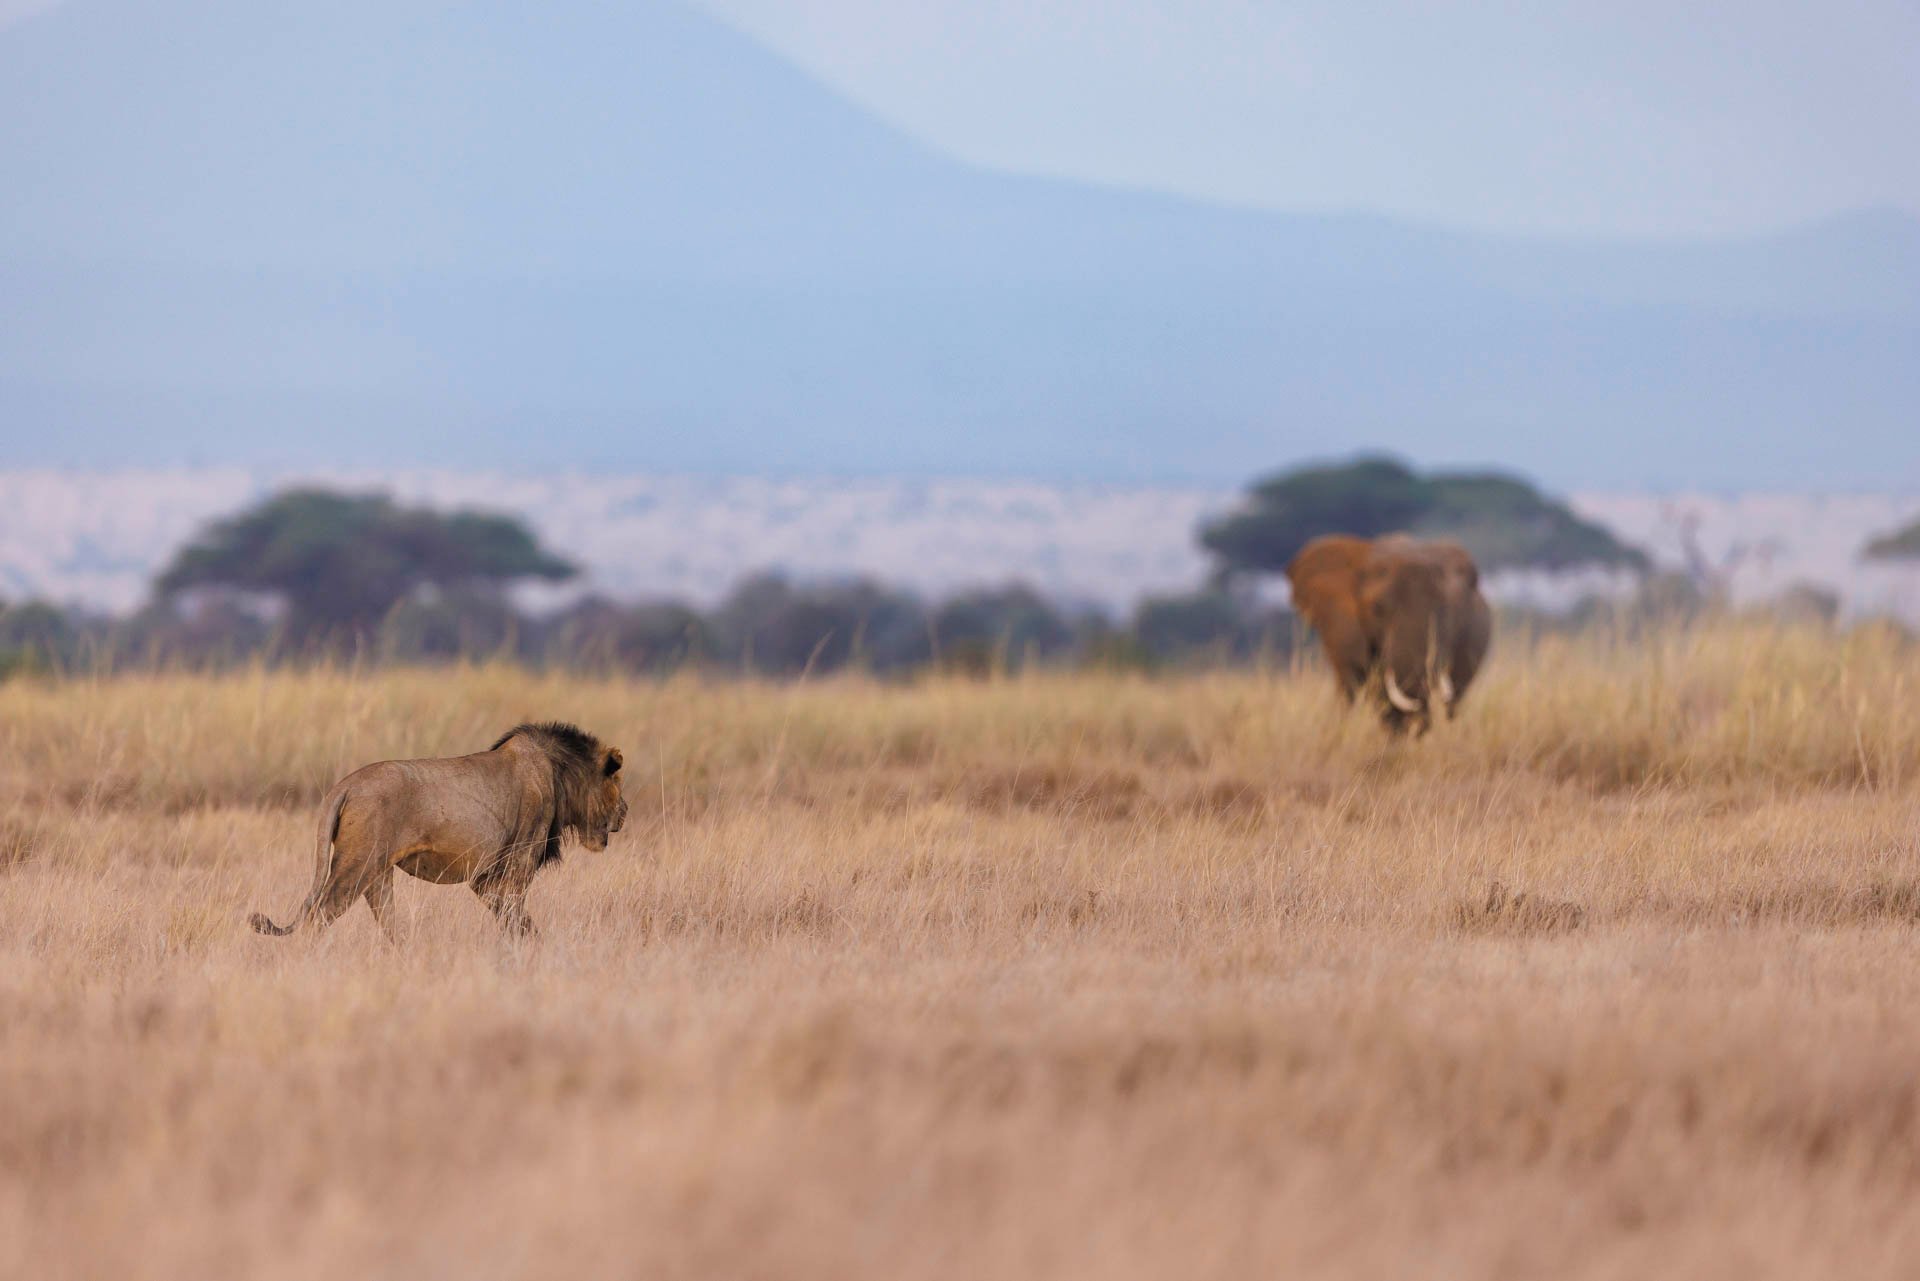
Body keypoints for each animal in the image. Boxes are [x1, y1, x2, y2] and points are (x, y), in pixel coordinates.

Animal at [249, 722, 629, 941]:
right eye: (616, 781)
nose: (625, 812)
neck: (558, 774)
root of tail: (345, 785)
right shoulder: (516, 862)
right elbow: (517, 916)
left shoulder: (486, 876)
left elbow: (511, 916)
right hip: (357, 864)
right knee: (321, 913)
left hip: (378, 872)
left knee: (386, 922)